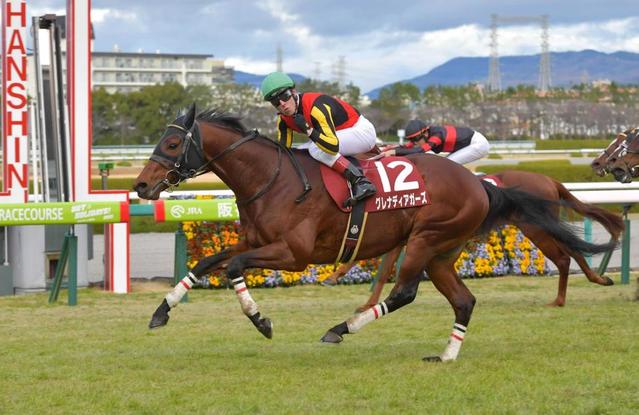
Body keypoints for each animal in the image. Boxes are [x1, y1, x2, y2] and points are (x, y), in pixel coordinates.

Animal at [330, 171, 624, 312]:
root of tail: (549, 179)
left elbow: (382, 264)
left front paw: (341, 276)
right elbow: (382, 266)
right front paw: (351, 285)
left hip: (535, 226)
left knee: (564, 255)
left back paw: (562, 298)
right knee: (572, 248)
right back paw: (597, 279)